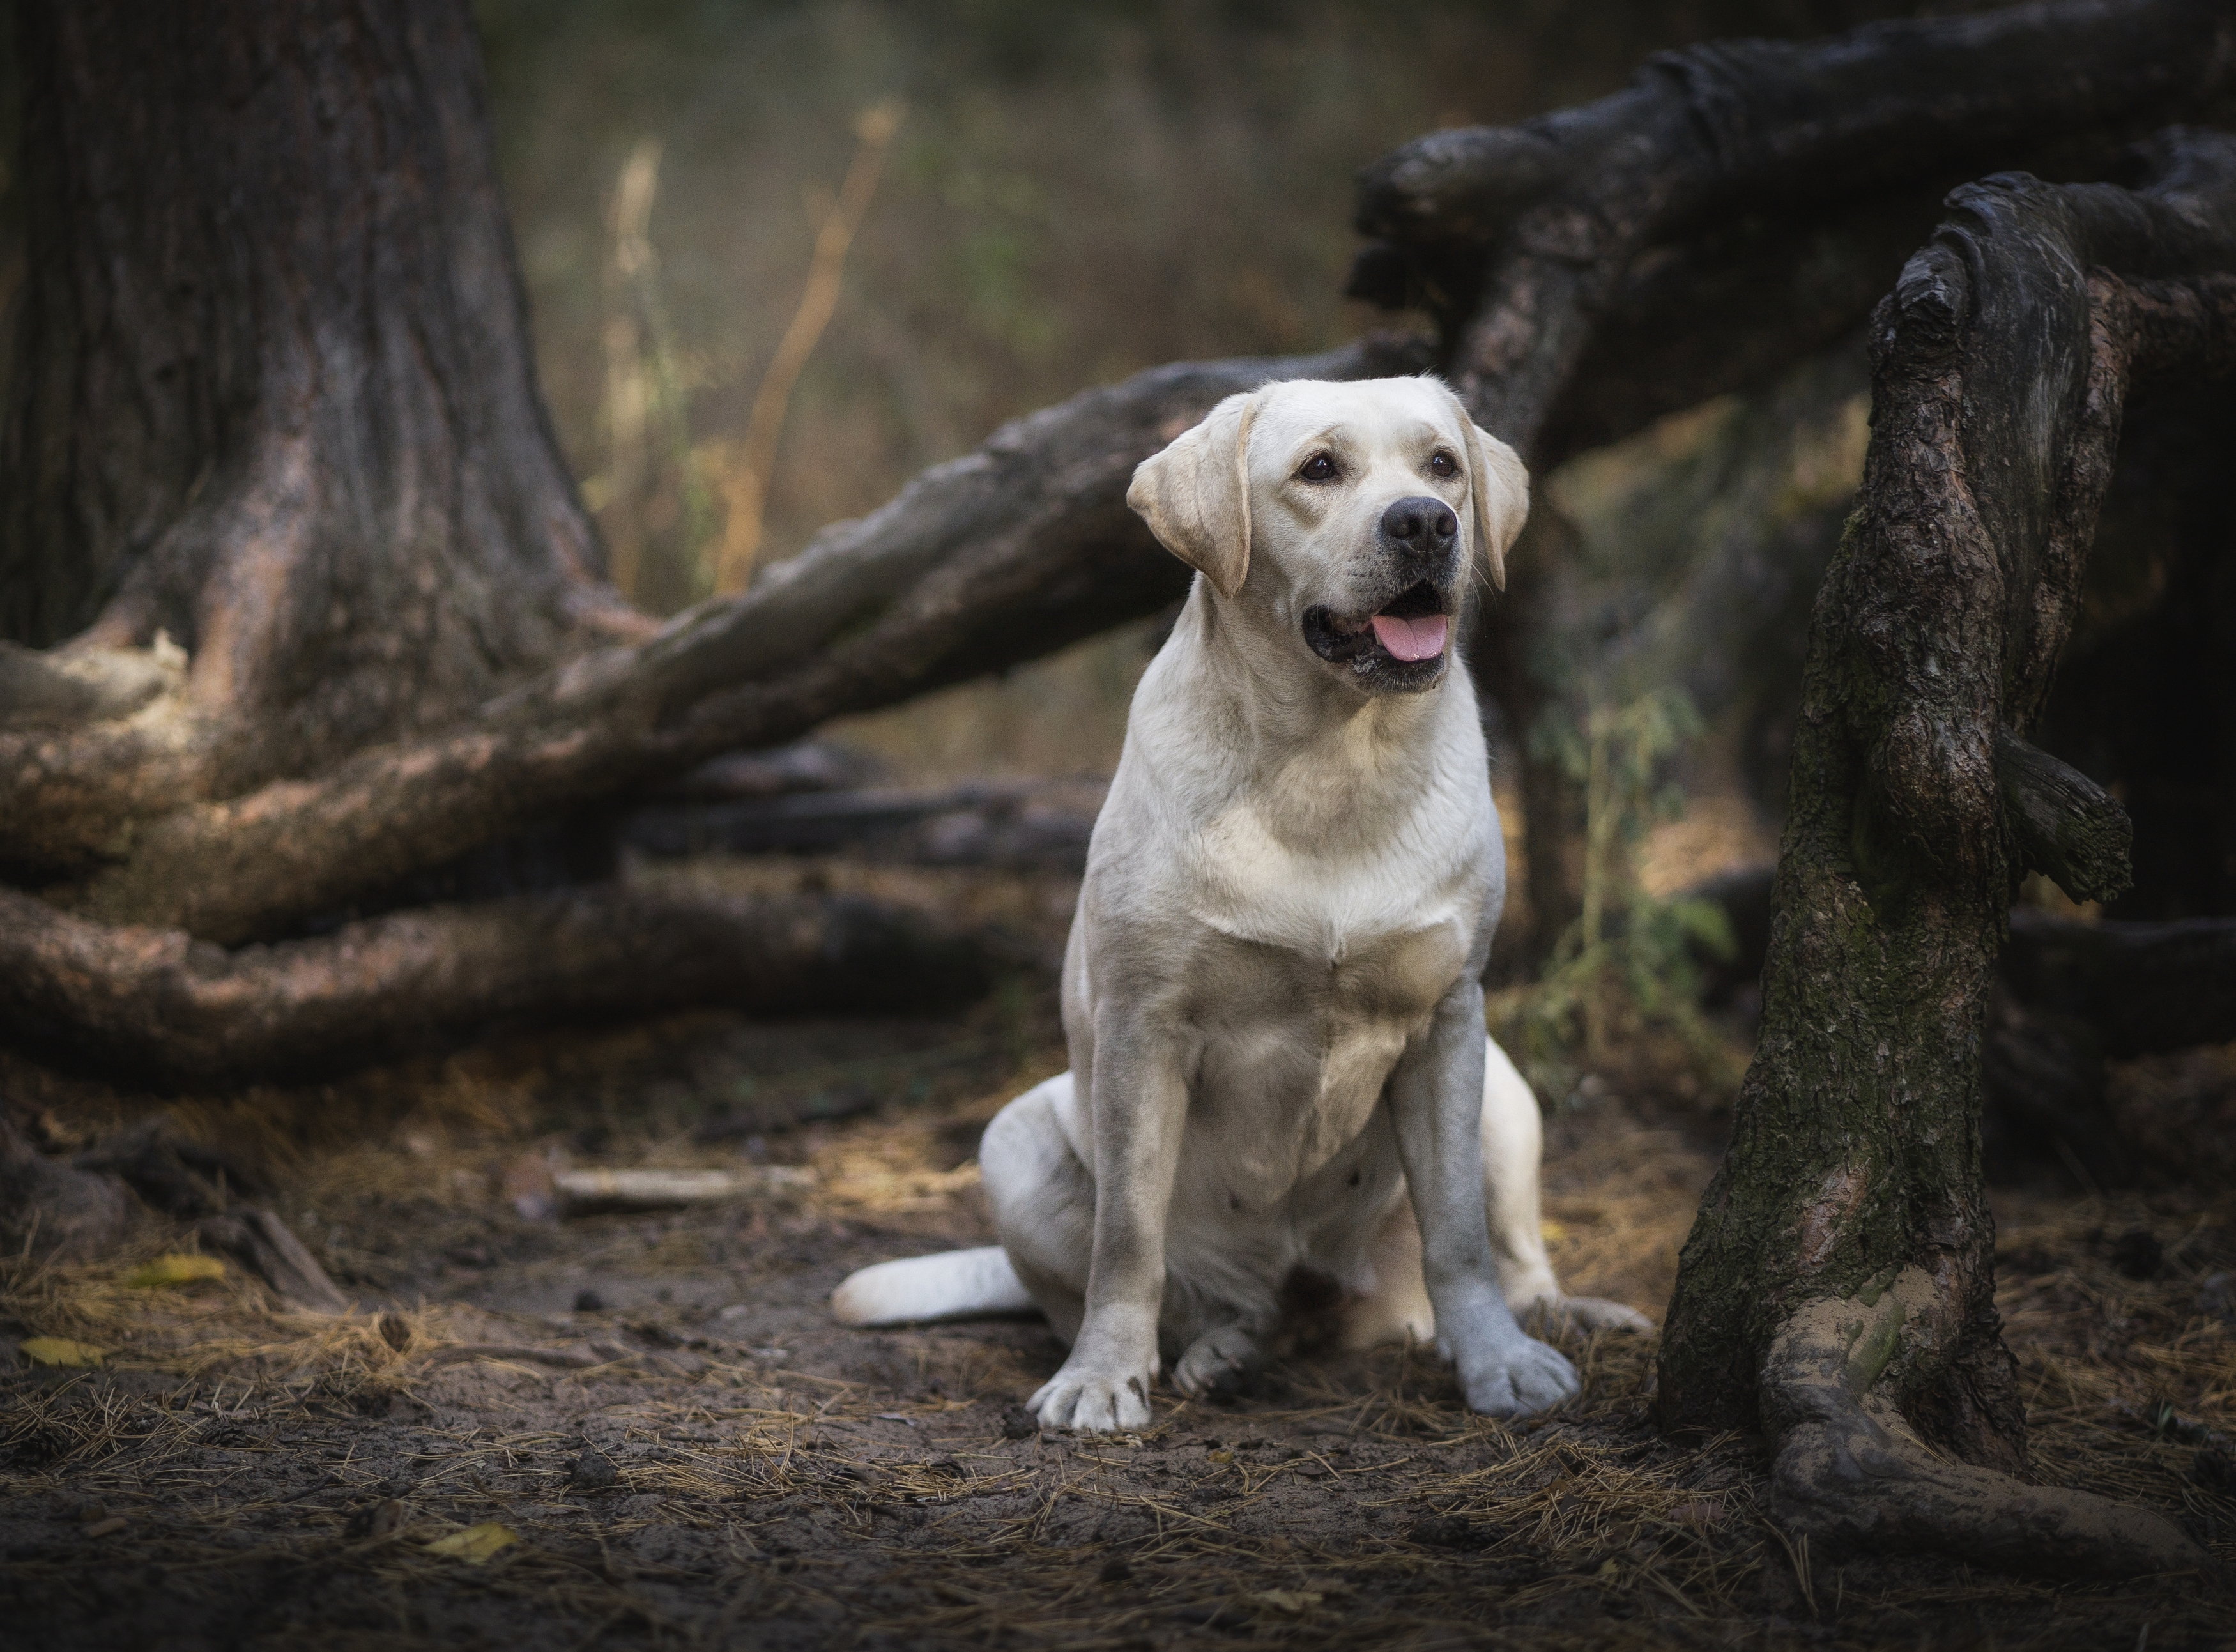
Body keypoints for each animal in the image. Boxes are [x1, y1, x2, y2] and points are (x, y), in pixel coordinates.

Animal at [836, 378, 1646, 1430]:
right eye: (1318, 469)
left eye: (1442, 466)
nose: (1425, 523)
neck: (1332, 765)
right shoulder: (1144, 1027)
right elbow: (1127, 1240)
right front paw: (1100, 1377)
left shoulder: (1447, 1018)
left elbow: (1460, 1230)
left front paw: (1499, 1363)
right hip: (1012, 1140)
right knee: (1196, 1295)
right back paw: (1221, 1350)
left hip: (1504, 1089)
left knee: (1509, 1253)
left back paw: (1558, 1315)